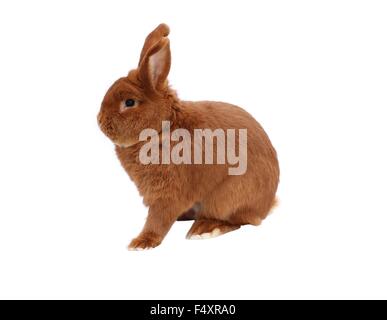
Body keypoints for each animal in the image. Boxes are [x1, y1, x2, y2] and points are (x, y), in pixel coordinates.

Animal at [97, 23, 278, 251]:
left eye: (129, 102)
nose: (99, 120)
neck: (162, 128)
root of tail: (267, 203)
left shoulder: (168, 192)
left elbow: (158, 218)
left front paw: (141, 242)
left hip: (227, 196)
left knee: (238, 220)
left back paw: (205, 229)